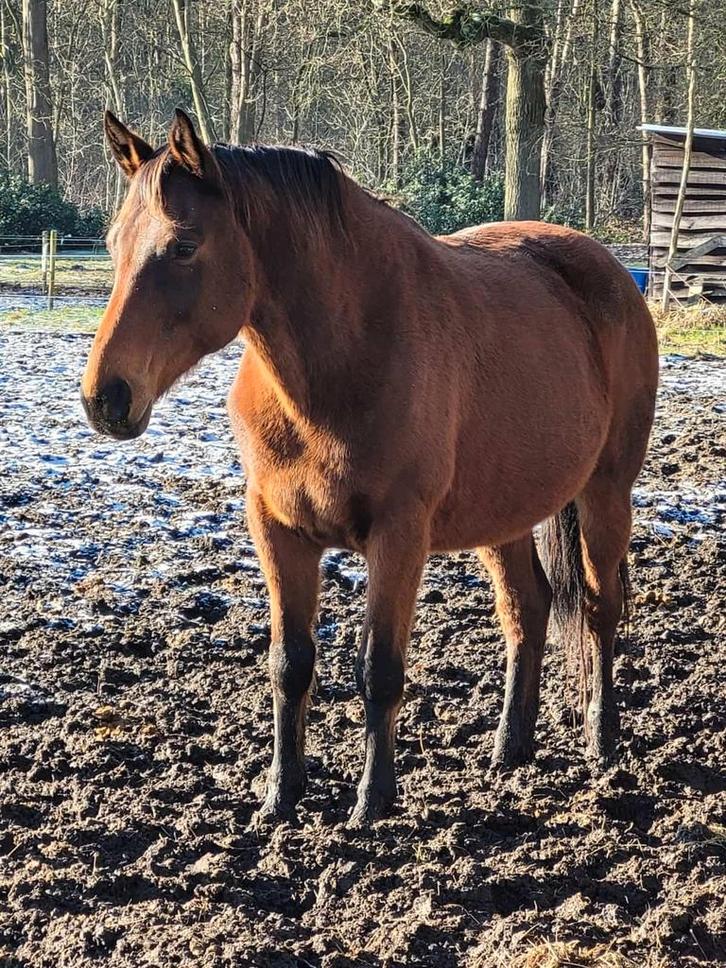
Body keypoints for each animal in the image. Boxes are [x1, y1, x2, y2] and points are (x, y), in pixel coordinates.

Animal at [81, 109, 658, 826]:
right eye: (113, 244)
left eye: (184, 246)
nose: (106, 398)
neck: (340, 366)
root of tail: (605, 266)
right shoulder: (277, 532)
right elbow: (289, 664)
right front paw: (280, 796)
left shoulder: (398, 537)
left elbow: (379, 669)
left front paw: (371, 801)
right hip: (503, 513)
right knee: (527, 610)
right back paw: (509, 745)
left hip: (607, 494)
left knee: (601, 609)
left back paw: (601, 740)